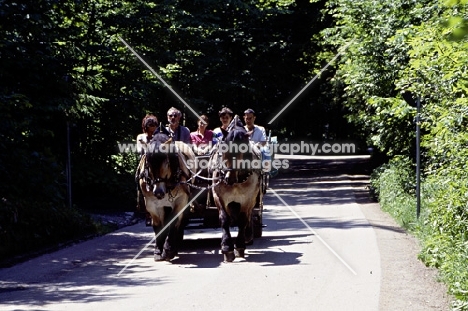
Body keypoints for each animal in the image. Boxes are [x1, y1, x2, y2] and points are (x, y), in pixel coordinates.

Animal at [136, 125, 197, 262]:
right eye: (148, 163)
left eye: (167, 163)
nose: (158, 192)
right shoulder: (152, 204)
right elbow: (158, 225)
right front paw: (158, 251)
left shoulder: (181, 200)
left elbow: (173, 222)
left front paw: (168, 250)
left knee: (180, 222)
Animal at [209, 116, 264, 262]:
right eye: (223, 149)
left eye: (243, 150)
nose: (229, 178)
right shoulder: (218, 196)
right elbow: (224, 219)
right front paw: (227, 248)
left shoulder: (248, 198)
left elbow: (243, 219)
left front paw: (239, 246)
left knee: (249, 215)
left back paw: (248, 235)